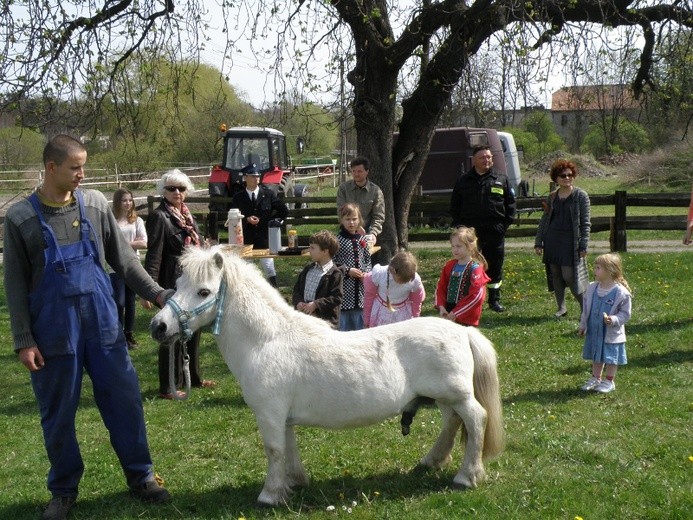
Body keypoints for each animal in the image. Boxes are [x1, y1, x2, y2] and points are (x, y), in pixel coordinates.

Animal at [150, 246, 502, 506]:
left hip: (457, 396)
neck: (266, 341)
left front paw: (269, 495)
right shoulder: (283, 417)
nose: (159, 326)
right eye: (178, 286)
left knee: (475, 419)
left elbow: (274, 450)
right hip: (443, 398)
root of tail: (462, 330)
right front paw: (294, 483)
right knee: (452, 423)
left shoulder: (269, 414)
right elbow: (288, 448)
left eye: (203, 291)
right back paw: (432, 462)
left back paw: (467, 476)